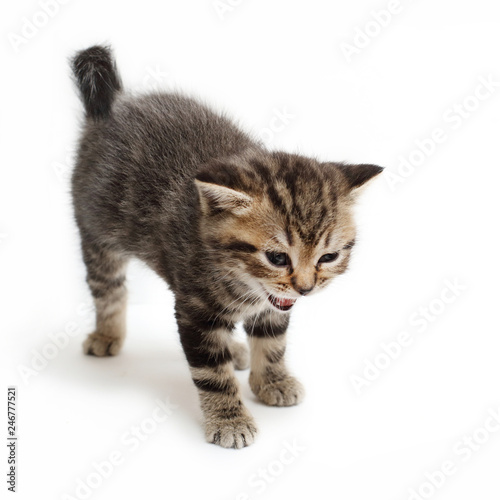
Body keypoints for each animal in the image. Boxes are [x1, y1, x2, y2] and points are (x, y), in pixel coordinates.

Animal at [70, 44, 382, 450]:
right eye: (277, 257)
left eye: (328, 257)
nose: (305, 289)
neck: (242, 282)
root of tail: (116, 104)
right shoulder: (194, 309)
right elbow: (211, 372)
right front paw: (230, 419)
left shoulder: (271, 305)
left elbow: (273, 342)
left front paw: (273, 380)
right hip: (96, 235)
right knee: (109, 290)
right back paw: (107, 335)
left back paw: (234, 348)